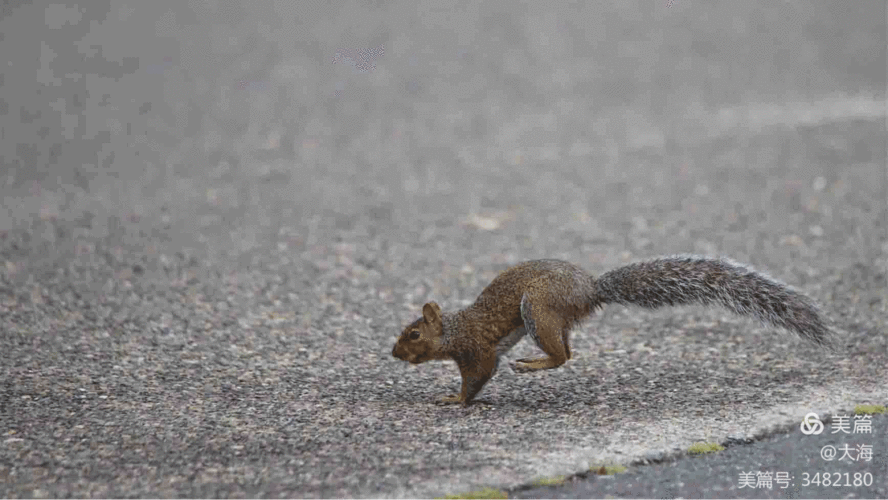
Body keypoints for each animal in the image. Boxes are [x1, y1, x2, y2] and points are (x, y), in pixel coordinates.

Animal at [390, 256, 832, 404]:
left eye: (413, 335)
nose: (392, 354)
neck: (452, 329)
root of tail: (590, 290)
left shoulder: (475, 350)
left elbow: (477, 377)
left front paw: (453, 399)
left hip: (538, 309)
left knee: (562, 356)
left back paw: (531, 365)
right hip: (552, 318)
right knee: (568, 352)